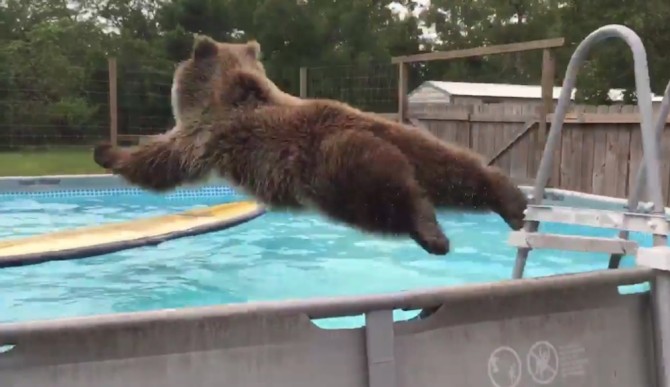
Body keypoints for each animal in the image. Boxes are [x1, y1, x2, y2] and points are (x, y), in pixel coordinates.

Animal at [93, 34, 532, 256]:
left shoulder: (206, 134)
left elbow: (162, 161)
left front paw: (108, 152)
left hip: (335, 170)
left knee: (389, 198)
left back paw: (432, 235)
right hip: (413, 142)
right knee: (457, 171)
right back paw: (511, 201)